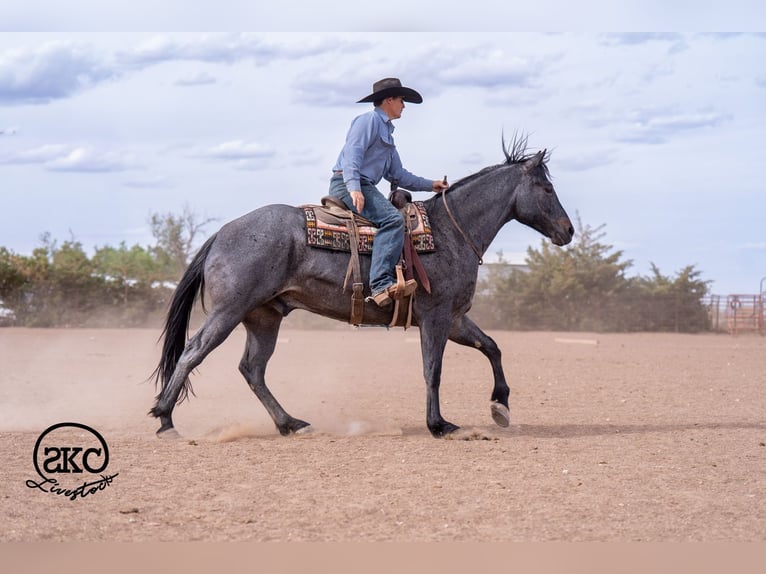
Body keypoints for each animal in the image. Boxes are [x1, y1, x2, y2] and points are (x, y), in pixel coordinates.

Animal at [150, 137, 574, 438]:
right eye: (547, 189)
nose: (568, 230)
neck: (451, 231)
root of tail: (222, 232)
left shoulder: (454, 319)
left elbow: (492, 347)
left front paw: (500, 407)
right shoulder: (435, 317)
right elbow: (433, 370)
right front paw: (439, 425)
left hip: (264, 317)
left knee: (252, 370)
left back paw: (291, 424)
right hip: (230, 310)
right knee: (193, 352)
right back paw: (166, 420)